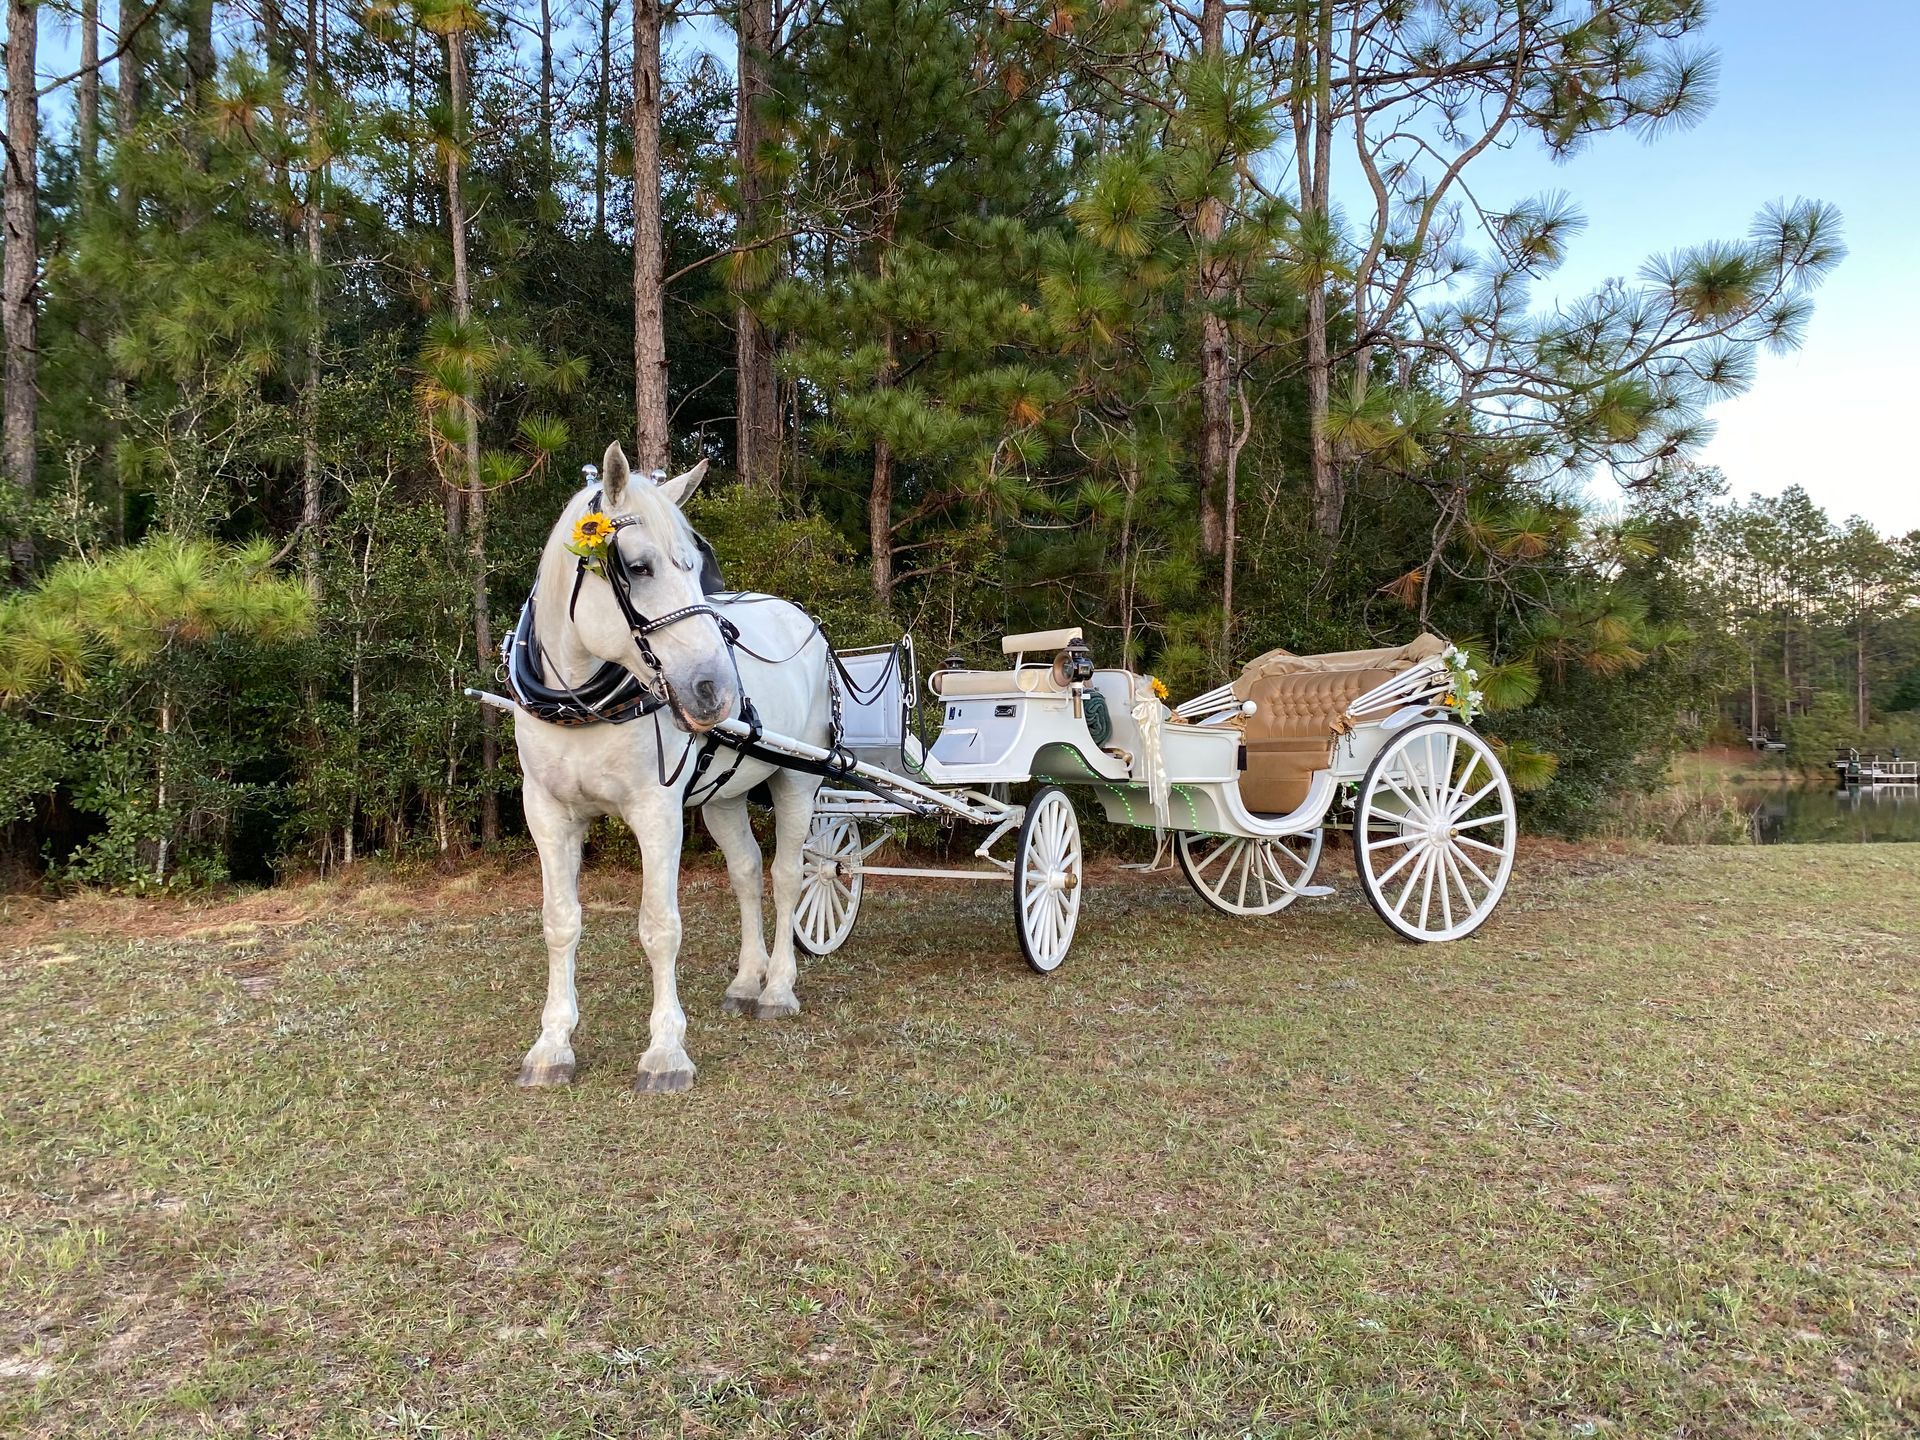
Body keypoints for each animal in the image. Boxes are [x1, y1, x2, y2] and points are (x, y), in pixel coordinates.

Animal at [506, 441, 833, 1093]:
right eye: (636, 567)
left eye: (695, 565)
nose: (716, 690)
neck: (581, 705)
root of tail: (801, 618)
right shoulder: (547, 812)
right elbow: (560, 921)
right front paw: (552, 1044)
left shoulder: (656, 812)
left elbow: (660, 926)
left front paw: (665, 1052)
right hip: (725, 793)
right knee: (746, 872)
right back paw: (747, 981)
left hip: (798, 779)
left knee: (787, 875)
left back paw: (778, 988)